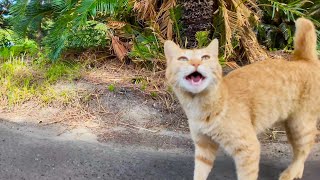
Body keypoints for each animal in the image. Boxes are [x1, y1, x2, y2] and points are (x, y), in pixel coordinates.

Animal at [165, 17, 320, 180]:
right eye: (183, 58)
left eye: (205, 57)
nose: (196, 63)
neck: (200, 106)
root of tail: (303, 60)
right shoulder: (203, 147)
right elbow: (200, 173)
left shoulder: (248, 149)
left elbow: (247, 175)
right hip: (291, 127)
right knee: (299, 150)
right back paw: (297, 172)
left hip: (300, 126)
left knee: (304, 149)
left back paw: (290, 173)